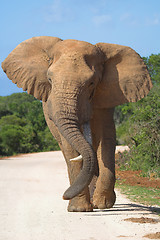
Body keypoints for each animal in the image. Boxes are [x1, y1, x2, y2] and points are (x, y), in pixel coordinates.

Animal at [1, 36, 152, 211]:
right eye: (50, 79)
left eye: (92, 83)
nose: (64, 195)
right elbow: (70, 146)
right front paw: (79, 209)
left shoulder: (105, 97)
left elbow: (106, 138)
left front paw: (103, 204)